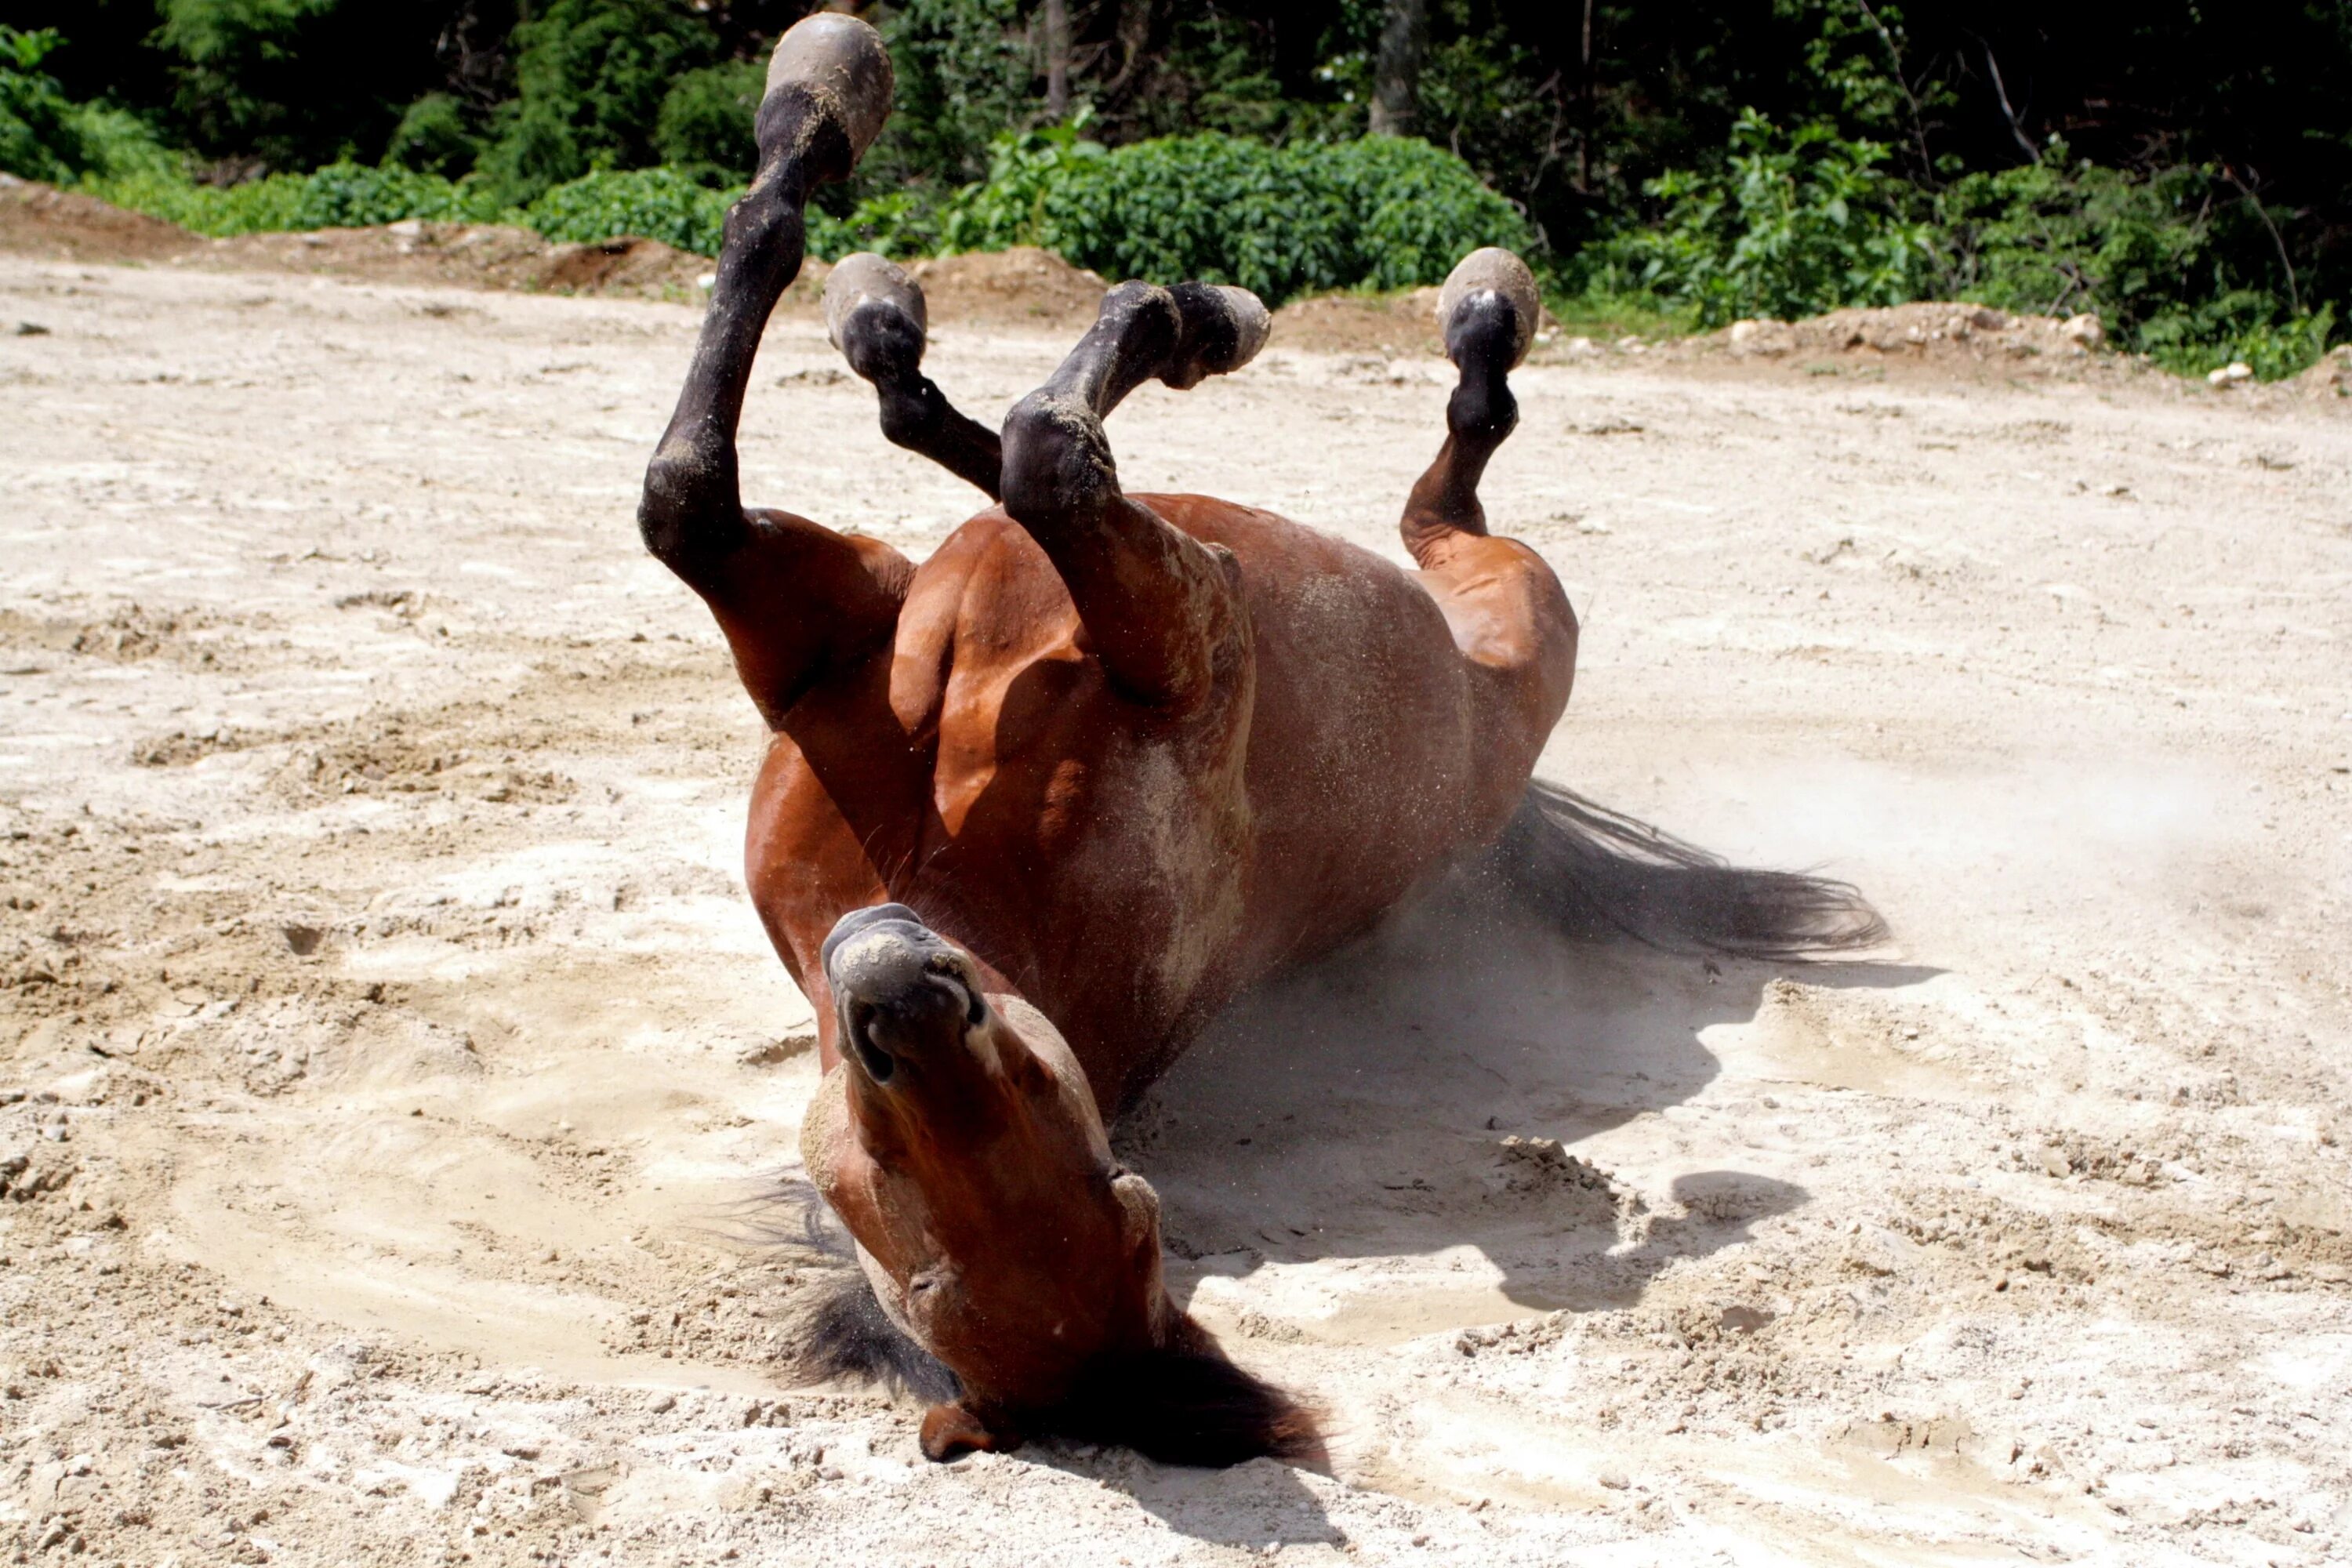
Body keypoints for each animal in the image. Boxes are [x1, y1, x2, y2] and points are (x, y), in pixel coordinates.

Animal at [635, 15, 1882, 1476]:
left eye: (1106, 1178)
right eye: (895, 1197)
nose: (898, 992)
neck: (960, 867)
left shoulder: (969, 626)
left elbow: (909, 459)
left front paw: (837, 116)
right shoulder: (864, 632)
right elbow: (766, 476)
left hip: (1502, 601)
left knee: (1357, 473)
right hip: (1511, 604)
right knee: (1439, 483)